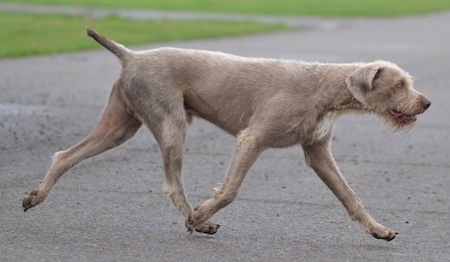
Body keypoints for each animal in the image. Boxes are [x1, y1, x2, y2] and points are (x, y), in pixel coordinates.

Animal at [22, 28, 430, 242]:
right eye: (398, 85)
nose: (426, 103)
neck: (324, 87)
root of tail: (132, 56)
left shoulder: (318, 152)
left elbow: (350, 196)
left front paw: (378, 230)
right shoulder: (252, 138)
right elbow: (231, 190)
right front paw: (201, 214)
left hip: (120, 125)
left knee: (66, 155)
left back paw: (35, 196)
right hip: (170, 122)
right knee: (172, 183)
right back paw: (197, 221)